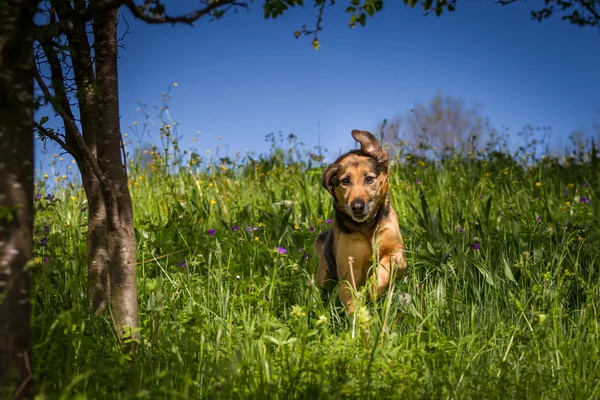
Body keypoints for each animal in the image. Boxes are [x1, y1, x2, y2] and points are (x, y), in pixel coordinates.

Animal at [314, 130, 408, 314]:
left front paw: (374, 286)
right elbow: (351, 299)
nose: (357, 206)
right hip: (323, 276)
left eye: (369, 179)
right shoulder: (348, 274)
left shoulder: (398, 253)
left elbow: (388, 262)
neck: (367, 228)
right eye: (345, 181)